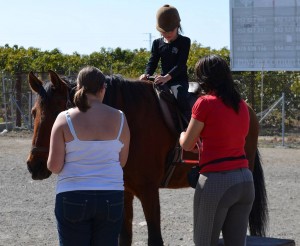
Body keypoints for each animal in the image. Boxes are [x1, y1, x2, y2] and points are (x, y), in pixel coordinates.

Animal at [27, 70, 268, 245]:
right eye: (33, 112)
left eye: (58, 113)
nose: (34, 165)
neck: (130, 120)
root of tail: (246, 106)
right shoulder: (124, 192)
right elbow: (124, 238)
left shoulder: (149, 191)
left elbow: (155, 239)